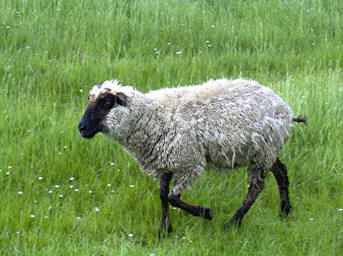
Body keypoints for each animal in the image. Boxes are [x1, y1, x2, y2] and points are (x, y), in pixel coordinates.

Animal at [79, 78, 308, 238]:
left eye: (106, 101)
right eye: (90, 99)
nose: (81, 128)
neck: (153, 117)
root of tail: (286, 110)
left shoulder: (190, 164)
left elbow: (173, 198)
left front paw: (205, 213)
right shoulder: (165, 162)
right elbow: (163, 196)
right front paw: (164, 230)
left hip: (263, 152)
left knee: (257, 187)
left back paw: (232, 224)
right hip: (264, 151)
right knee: (281, 171)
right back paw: (285, 211)